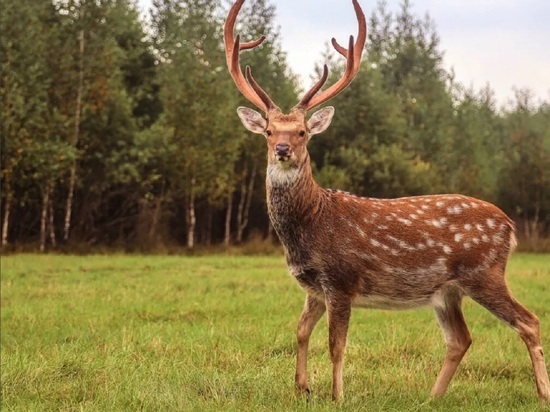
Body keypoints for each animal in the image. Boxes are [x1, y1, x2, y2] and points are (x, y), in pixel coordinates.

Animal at [224, 0, 550, 402]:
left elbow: (336, 344)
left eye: (301, 132)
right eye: (269, 131)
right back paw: (431, 398)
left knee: (528, 321)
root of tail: (510, 226)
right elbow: (300, 331)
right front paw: (302, 388)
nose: (283, 149)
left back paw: (542, 393)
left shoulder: (341, 278)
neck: (310, 224)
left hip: (484, 271)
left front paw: (337, 395)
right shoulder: (314, 286)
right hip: (447, 291)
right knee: (461, 339)